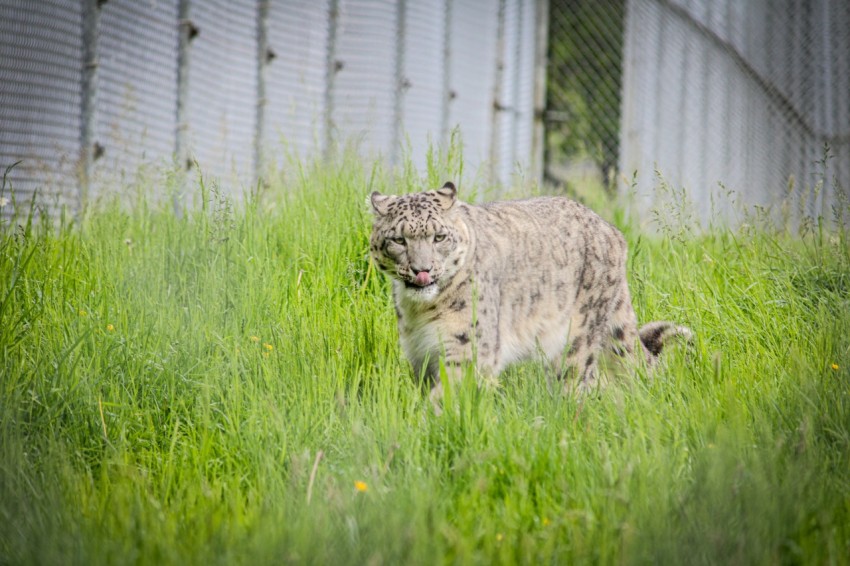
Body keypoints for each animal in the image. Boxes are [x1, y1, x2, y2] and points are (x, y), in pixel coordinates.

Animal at [368, 184, 692, 402]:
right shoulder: (420, 354)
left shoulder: (469, 349)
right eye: (398, 240)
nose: (421, 270)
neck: (423, 310)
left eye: (439, 237)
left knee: (578, 381)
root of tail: (612, 232)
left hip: (577, 338)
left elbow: (447, 396)